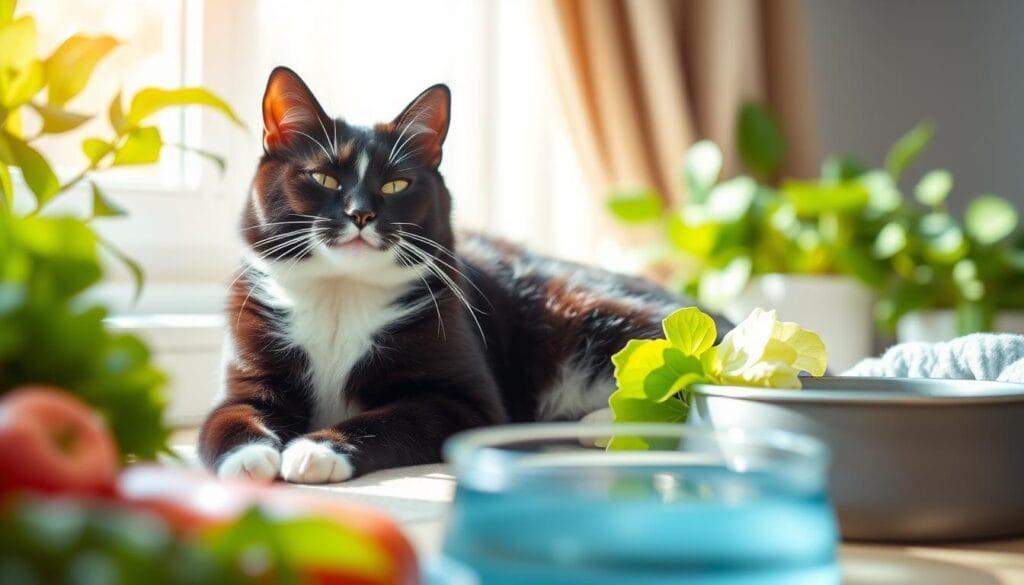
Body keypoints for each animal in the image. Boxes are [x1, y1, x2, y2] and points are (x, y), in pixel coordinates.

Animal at [197, 67, 729, 485]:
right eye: (324, 177)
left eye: (397, 184)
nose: (361, 214)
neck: (340, 297)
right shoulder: (251, 361)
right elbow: (226, 415)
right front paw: (249, 457)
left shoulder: (468, 402)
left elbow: (396, 417)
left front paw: (317, 449)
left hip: (599, 314)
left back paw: (606, 421)